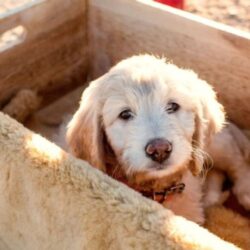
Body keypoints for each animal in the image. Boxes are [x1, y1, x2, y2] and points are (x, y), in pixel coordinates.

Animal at [66, 54, 250, 225]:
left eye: (173, 106)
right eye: (125, 114)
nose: (159, 149)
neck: (157, 190)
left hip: (215, 145)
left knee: (236, 161)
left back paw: (244, 191)